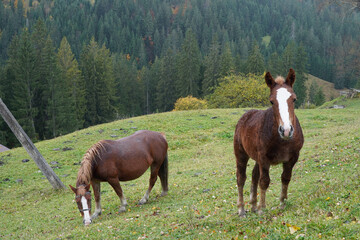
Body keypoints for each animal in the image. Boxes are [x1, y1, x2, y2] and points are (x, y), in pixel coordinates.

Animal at [233, 68, 304, 217]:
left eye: (294, 99)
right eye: (271, 101)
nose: (286, 130)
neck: (283, 141)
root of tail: (245, 116)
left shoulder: (293, 158)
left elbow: (285, 178)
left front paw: (282, 203)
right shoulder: (264, 158)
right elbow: (264, 181)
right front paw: (262, 208)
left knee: (254, 175)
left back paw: (253, 205)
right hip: (241, 154)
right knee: (241, 178)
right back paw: (241, 209)